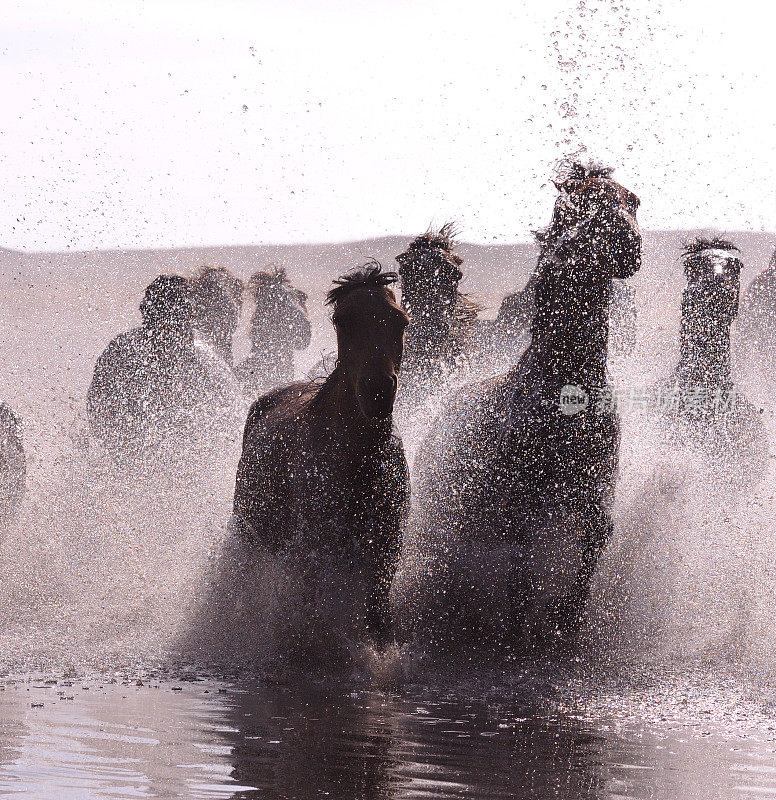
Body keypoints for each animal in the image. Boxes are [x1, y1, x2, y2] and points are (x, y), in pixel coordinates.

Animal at [227, 262, 412, 648]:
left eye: (399, 320)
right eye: (342, 320)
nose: (377, 391)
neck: (357, 462)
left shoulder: (386, 549)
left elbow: (378, 619)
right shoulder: (312, 552)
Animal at [394, 164, 644, 656]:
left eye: (632, 200)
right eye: (575, 208)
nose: (629, 246)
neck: (569, 395)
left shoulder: (595, 489)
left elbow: (591, 545)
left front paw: (567, 621)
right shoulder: (520, 501)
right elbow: (523, 570)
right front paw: (521, 633)